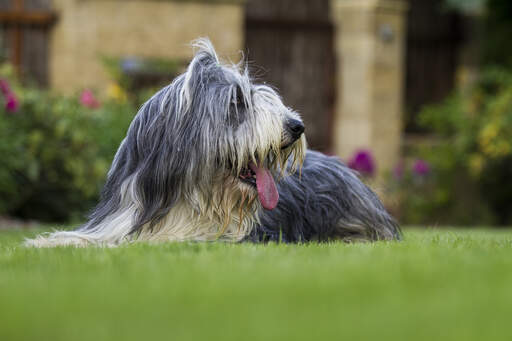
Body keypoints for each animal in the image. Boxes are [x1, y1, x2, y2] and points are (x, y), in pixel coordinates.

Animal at [24, 37, 400, 247]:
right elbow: (94, 238)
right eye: (238, 101)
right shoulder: (121, 216)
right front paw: (46, 243)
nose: (297, 126)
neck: (185, 195)